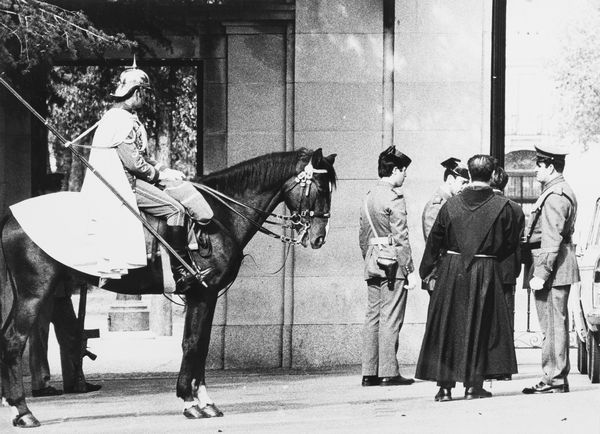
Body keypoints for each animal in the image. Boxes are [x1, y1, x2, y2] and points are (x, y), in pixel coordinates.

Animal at [0, 147, 338, 428]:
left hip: (23, 294)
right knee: (14, 340)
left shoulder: (208, 296)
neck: (220, 216)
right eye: (321, 188)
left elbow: (202, 344)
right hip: (35, 293)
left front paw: (205, 401)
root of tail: (10, 217)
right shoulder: (203, 293)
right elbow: (192, 344)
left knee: (6, 337)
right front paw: (190, 401)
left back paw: (12, 404)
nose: (319, 238)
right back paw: (24, 412)